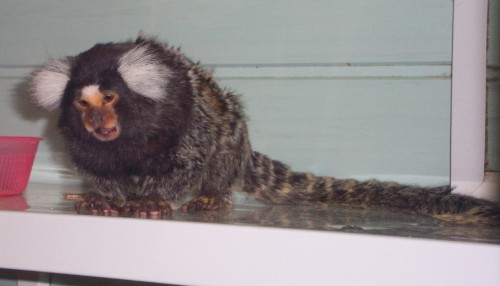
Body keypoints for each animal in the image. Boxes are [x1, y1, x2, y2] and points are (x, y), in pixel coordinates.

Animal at [29, 36, 500, 225]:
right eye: (82, 104)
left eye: (109, 98)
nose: (96, 122)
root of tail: (246, 152)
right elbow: (100, 173)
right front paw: (102, 198)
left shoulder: (185, 127)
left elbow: (187, 162)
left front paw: (152, 200)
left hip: (231, 141)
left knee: (220, 151)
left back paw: (212, 196)